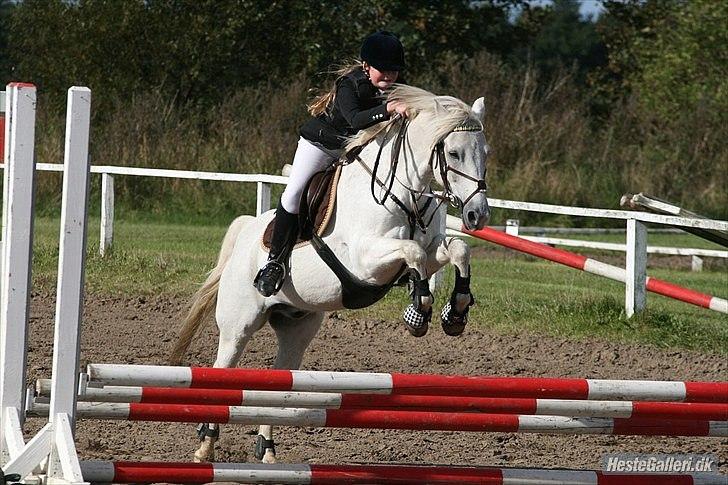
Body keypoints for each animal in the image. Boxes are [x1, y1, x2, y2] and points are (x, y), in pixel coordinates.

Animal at [170, 85, 490, 464]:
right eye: (454, 153)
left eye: (485, 153)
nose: (477, 216)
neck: (405, 193)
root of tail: (246, 232)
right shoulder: (367, 260)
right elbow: (412, 254)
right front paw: (418, 311)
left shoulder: (431, 251)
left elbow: (457, 249)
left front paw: (455, 313)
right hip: (239, 324)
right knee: (223, 369)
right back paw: (205, 446)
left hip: (297, 326)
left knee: (279, 380)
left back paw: (267, 451)